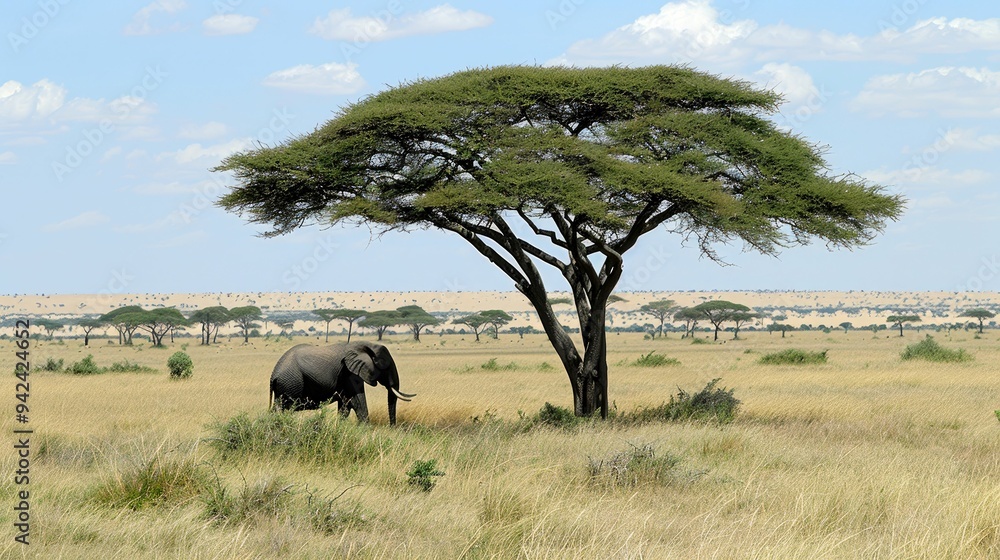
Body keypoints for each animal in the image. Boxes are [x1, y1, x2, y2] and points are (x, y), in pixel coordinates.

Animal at [269, 341, 415, 425]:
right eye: (386, 366)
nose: (393, 427)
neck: (367, 345)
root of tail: (273, 375)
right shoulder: (349, 373)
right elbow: (357, 399)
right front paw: (365, 428)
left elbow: (347, 404)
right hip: (290, 383)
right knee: (286, 408)